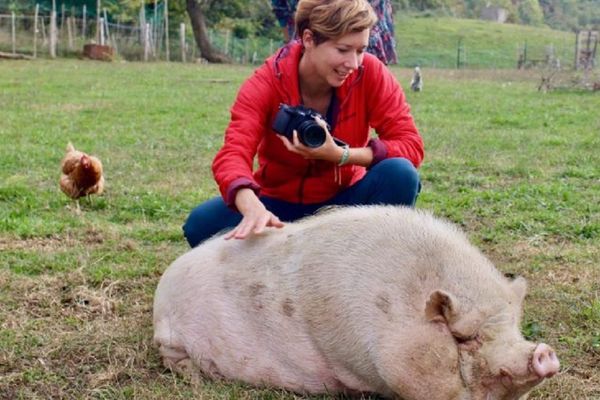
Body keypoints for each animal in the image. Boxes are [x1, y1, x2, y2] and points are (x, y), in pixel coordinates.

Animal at [154, 205, 556, 398]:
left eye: (515, 329)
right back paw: (197, 380)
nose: (544, 353)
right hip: (169, 337)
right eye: (466, 338)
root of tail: (166, 277)